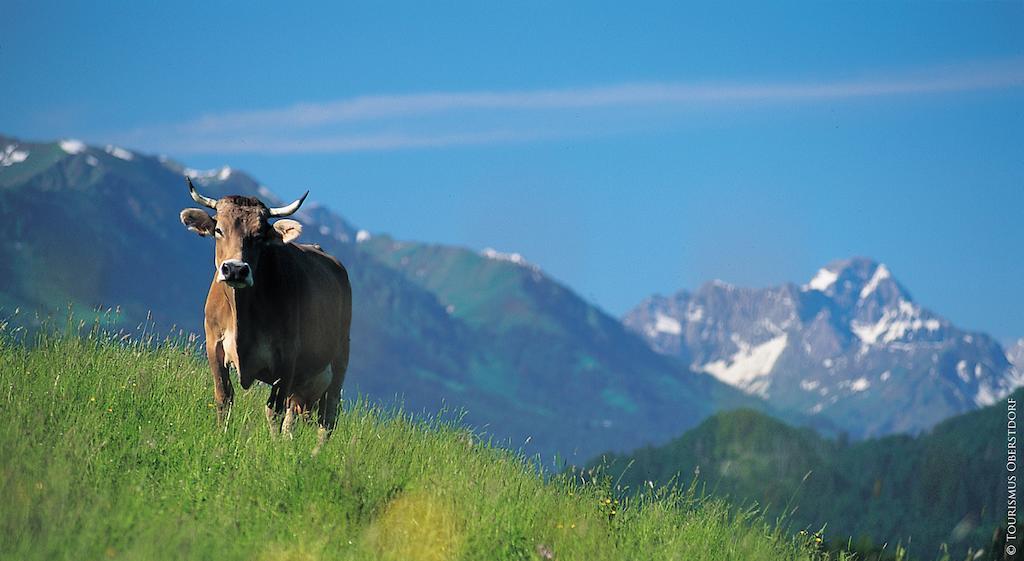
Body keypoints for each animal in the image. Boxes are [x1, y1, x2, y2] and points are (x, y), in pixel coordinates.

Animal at [178, 177, 350, 448]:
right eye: (219, 230)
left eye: (259, 236)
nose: (235, 269)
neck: (243, 316)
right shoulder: (213, 345)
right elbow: (224, 398)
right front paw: (222, 438)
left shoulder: (287, 357)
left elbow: (273, 410)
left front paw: (273, 448)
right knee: (294, 413)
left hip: (338, 361)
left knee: (327, 418)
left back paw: (315, 453)